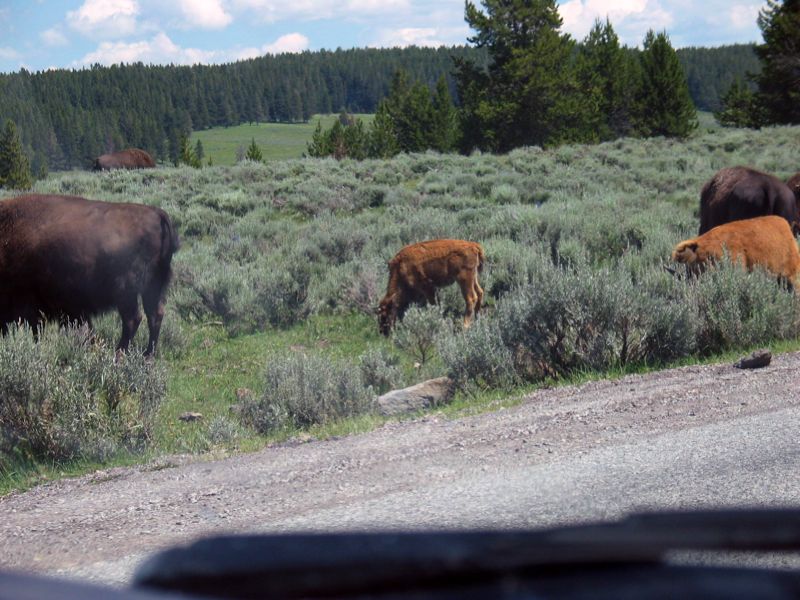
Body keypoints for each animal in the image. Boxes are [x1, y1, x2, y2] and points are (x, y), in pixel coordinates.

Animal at [0, 195, 178, 356]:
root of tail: (157, 214)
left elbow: (36, 330)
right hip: (152, 287)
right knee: (154, 316)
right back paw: (148, 356)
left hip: (126, 292)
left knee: (133, 319)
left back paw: (118, 355)